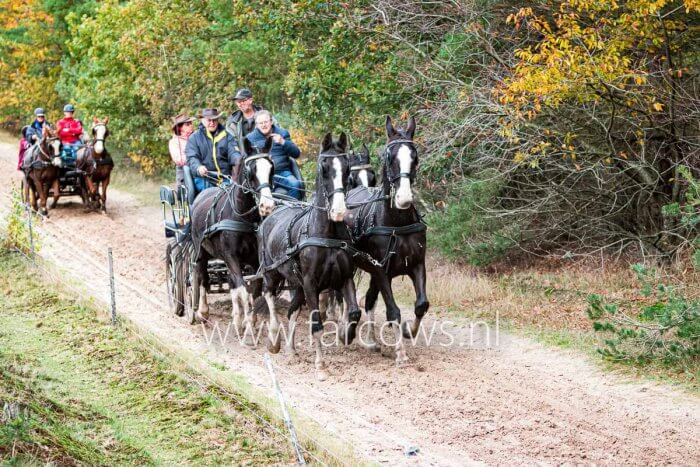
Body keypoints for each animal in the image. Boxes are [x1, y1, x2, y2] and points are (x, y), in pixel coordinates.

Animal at [187, 137, 274, 342]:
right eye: (251, 170)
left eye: (271, 168)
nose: (267, 205)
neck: (241, 217)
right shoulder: (231, 256)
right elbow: (243, 290)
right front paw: (244, 323)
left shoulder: (254, 261)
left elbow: (254, 291)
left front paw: (249, 323)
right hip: (200, 252)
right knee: (202, 277)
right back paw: (201, 312)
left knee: (232, 283)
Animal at [258, 133, 358, 382]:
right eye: (324, 168)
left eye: (347, 167)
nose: (339, 211)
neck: (326, 234)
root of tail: (271, 213)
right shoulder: (312, 284)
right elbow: (316, 325)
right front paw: (320, 366)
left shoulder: (344, 278)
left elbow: (353, 311)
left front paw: (345, 335)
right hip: (272, 273)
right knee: (269, 295)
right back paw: (274, 339)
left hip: (298, 284)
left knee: (292, 310)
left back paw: (291, 350)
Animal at [344, 116, 426, 366]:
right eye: (390, 157)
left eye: (414, 157)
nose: (404, 198)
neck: (396, 224)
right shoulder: (381, 270)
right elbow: (393, 310)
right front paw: (400, 353)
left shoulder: (417, 264)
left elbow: (421, 305)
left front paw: (409, 331)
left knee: (370, 300)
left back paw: (371, 340)